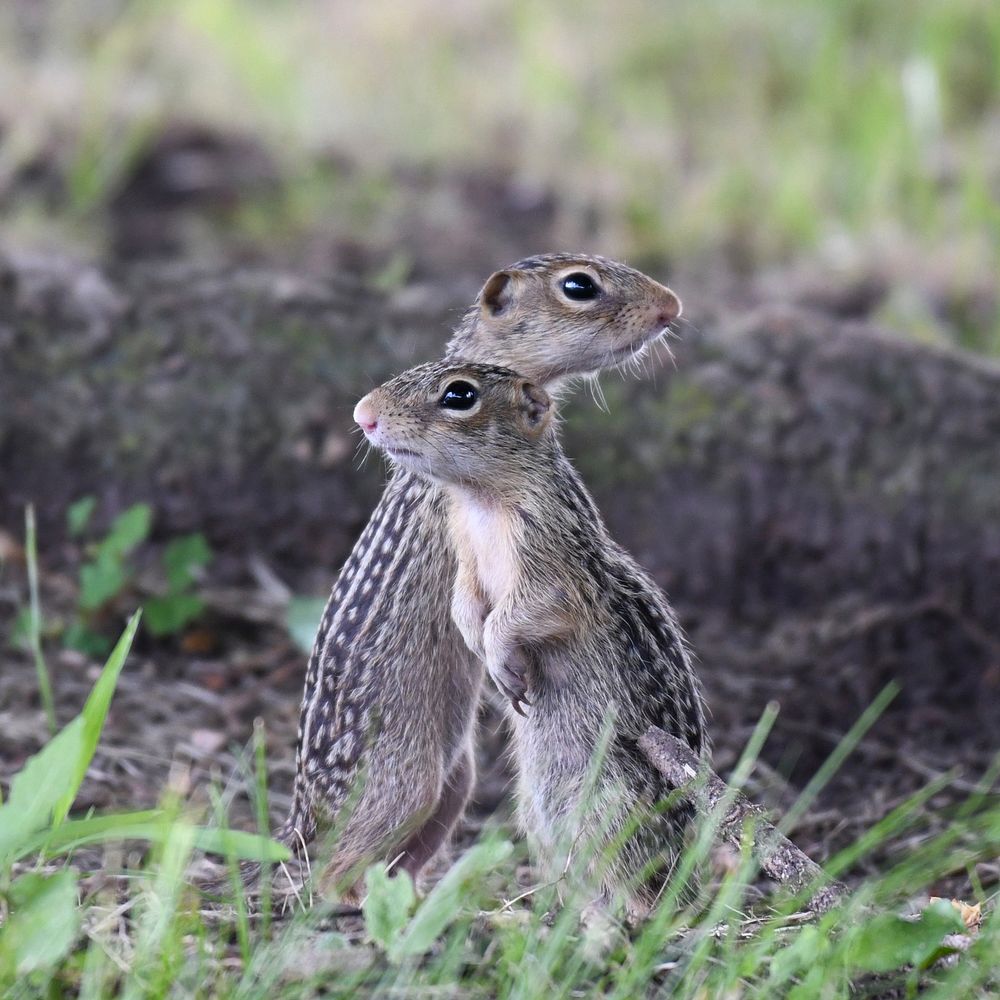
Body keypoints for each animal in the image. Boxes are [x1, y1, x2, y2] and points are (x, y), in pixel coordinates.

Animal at [250, 254, 684, 896]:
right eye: (579, 285)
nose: (672, 306)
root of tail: (302, 814)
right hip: (405, 785)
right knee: (331, 870)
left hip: (455, 783)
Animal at [356, 364, 708, 916]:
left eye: (460, 395)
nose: (363, 415)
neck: (480, 502)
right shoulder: (466, 558)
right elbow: (464, 604)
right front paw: (482, 649)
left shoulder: (551, 570)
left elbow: (523, 612)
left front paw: (501, 657)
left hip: (608, 802)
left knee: (636, 889)